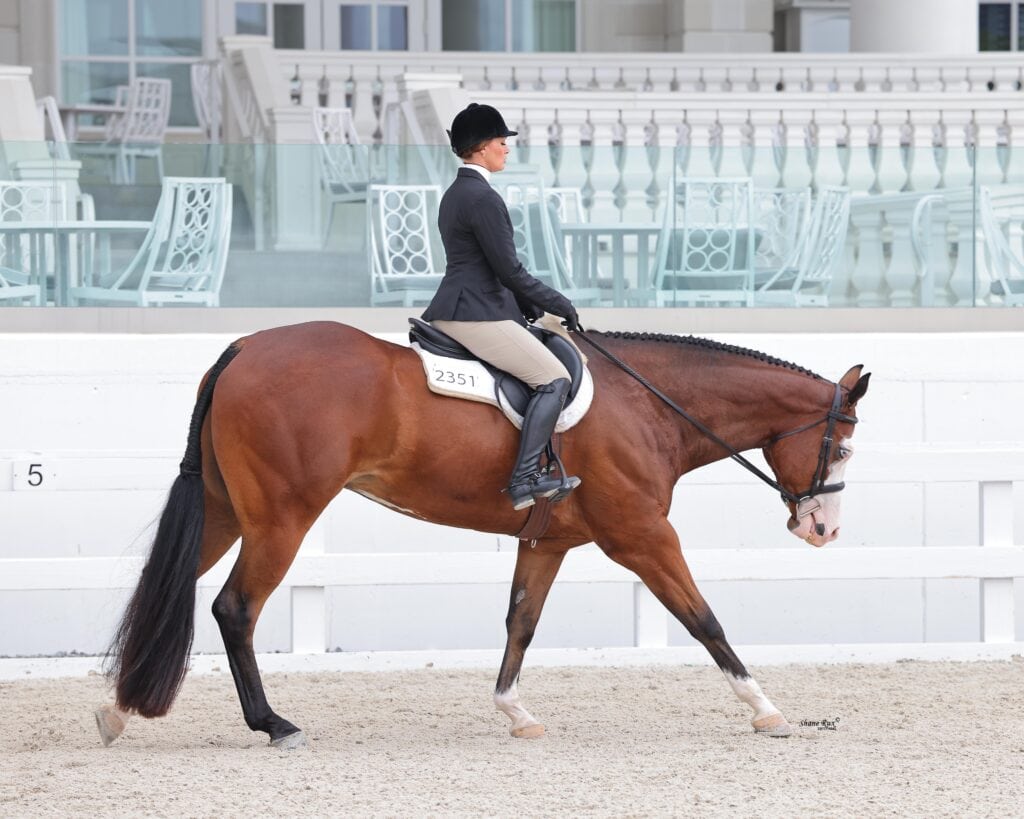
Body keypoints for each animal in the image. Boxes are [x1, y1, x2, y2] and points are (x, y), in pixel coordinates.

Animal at [94, 320, 869, 749]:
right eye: (841, 448)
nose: (823, 528)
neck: (648, 404)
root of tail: (242, 347)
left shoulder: (546, 542)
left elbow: (520, 622)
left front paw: (515, 712)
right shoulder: (644, 536)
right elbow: (703, 619)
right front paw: (765, 709)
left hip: (228, 511)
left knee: (169, 590)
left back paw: (117, 710)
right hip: (282, 518)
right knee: (235, 609)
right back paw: (273, 724)